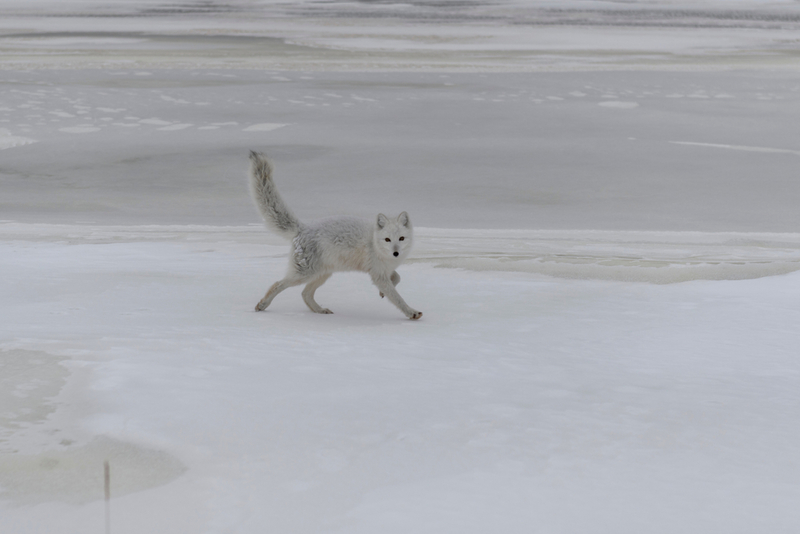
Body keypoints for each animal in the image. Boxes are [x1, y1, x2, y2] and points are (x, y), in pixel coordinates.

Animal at [248, 152, 424, 318]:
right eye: (387, 240)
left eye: (401, 238)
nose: (396, 253)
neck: (375, 244)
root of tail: (303, 228)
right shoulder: (378, 275)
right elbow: (397, 298)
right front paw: (412, 312)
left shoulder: (383, 271)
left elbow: (397, 278)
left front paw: (382, 292)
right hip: (304, 274)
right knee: (278, 284)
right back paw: (262, 304)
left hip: (323, 274)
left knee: (305, 293)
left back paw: (320, 310)